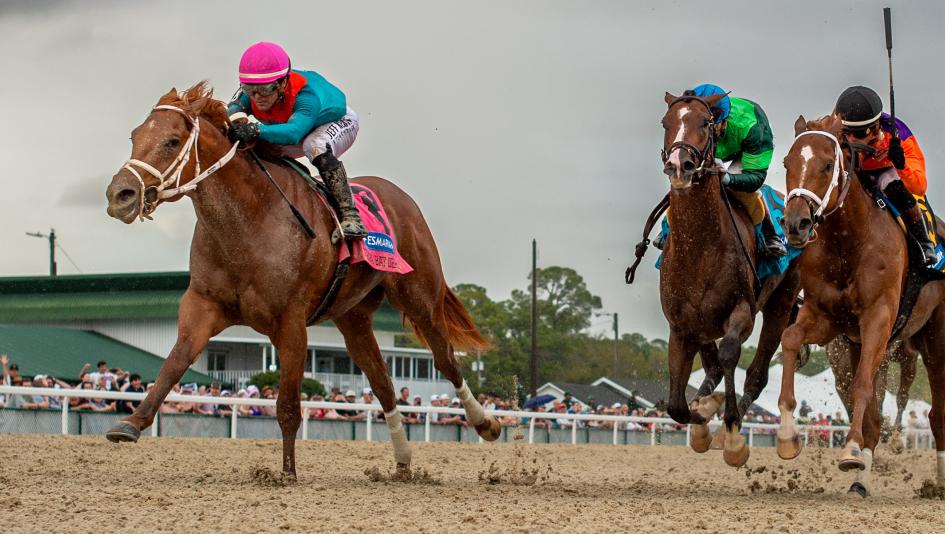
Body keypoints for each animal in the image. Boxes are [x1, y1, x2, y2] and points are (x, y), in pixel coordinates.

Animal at [103, 82, 502, 478]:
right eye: (134, 136)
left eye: (172, 141)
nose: (119, 195)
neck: (249, 220)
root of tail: (400, 197)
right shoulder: (203, 305)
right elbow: (174, 363)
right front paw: (130, 424)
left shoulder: (291, 321)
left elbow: (288, 407)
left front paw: (288, 473)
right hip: (353, 318)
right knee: (383, 383)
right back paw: (403, 460)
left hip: (419, 296)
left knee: (446, 360)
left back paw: (486, 424)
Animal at [658, 92, 801, 467]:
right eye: (666, 122)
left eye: (705, 123)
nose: (679, 166)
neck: (700, 247)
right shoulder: (680, 326)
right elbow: (677, 405)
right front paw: (703, 412)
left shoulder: (742, 312)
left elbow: (729, 354)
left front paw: (733, 433)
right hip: (701, 323)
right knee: (709, 368)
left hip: (781, 303)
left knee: (757, 372)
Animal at [777, 114, 945, 496]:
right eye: (787, 163)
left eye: (827, 164)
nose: (796, 224)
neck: (848, 241)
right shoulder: (826, 319)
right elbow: (791, 339)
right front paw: (787, 436)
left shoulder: (878, 320)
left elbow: (863, 387)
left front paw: (851, 448)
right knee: (875, 416)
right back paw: (861, 481)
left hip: (934, 341)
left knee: (937, 411)